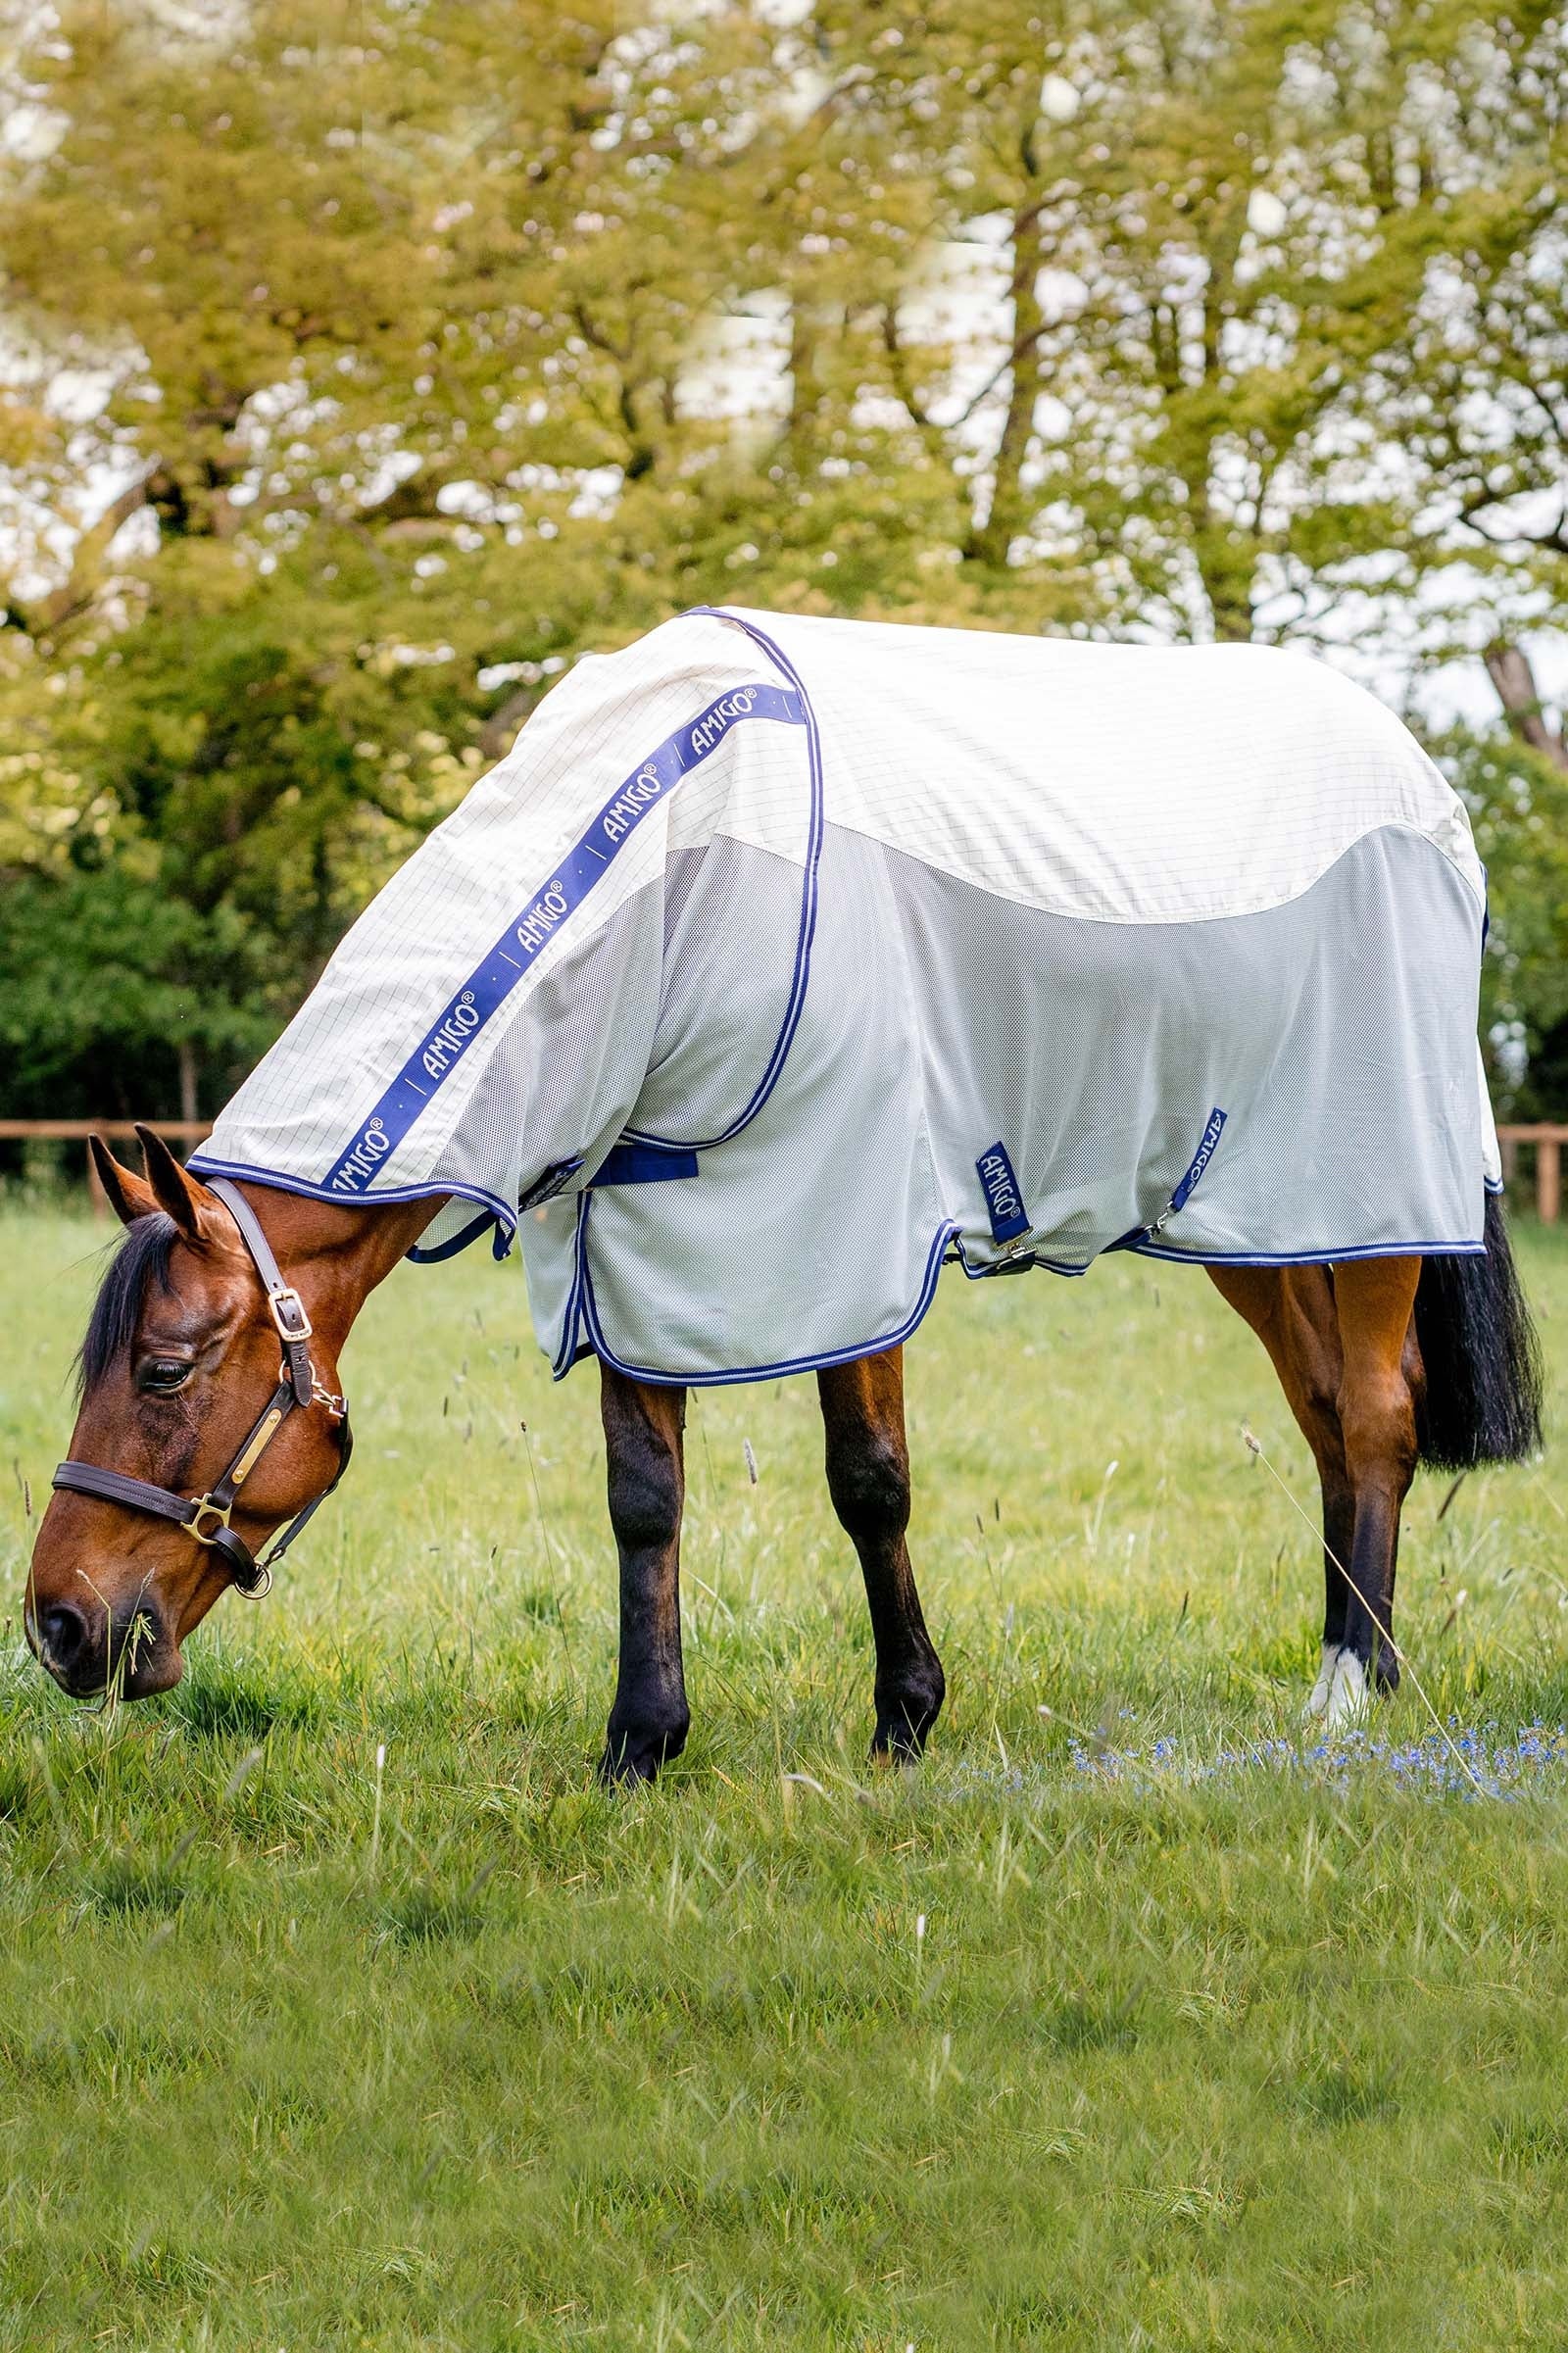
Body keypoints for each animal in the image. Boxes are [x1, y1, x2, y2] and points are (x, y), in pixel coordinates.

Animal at [22, 608, 1545, 1773]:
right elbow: (644, 1500)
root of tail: (1422, 785)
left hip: (1364, 1200)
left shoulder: (848, 1228)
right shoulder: (632, 1245)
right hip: (1255, 1223)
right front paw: (641, 1742)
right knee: (1327, 1421)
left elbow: (869, 1483)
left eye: (164, 1370)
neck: (666, 885)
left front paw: (905, 1719)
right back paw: (1348, 1662)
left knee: (1377, 1422)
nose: (55, 1627)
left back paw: (1351, 1693)